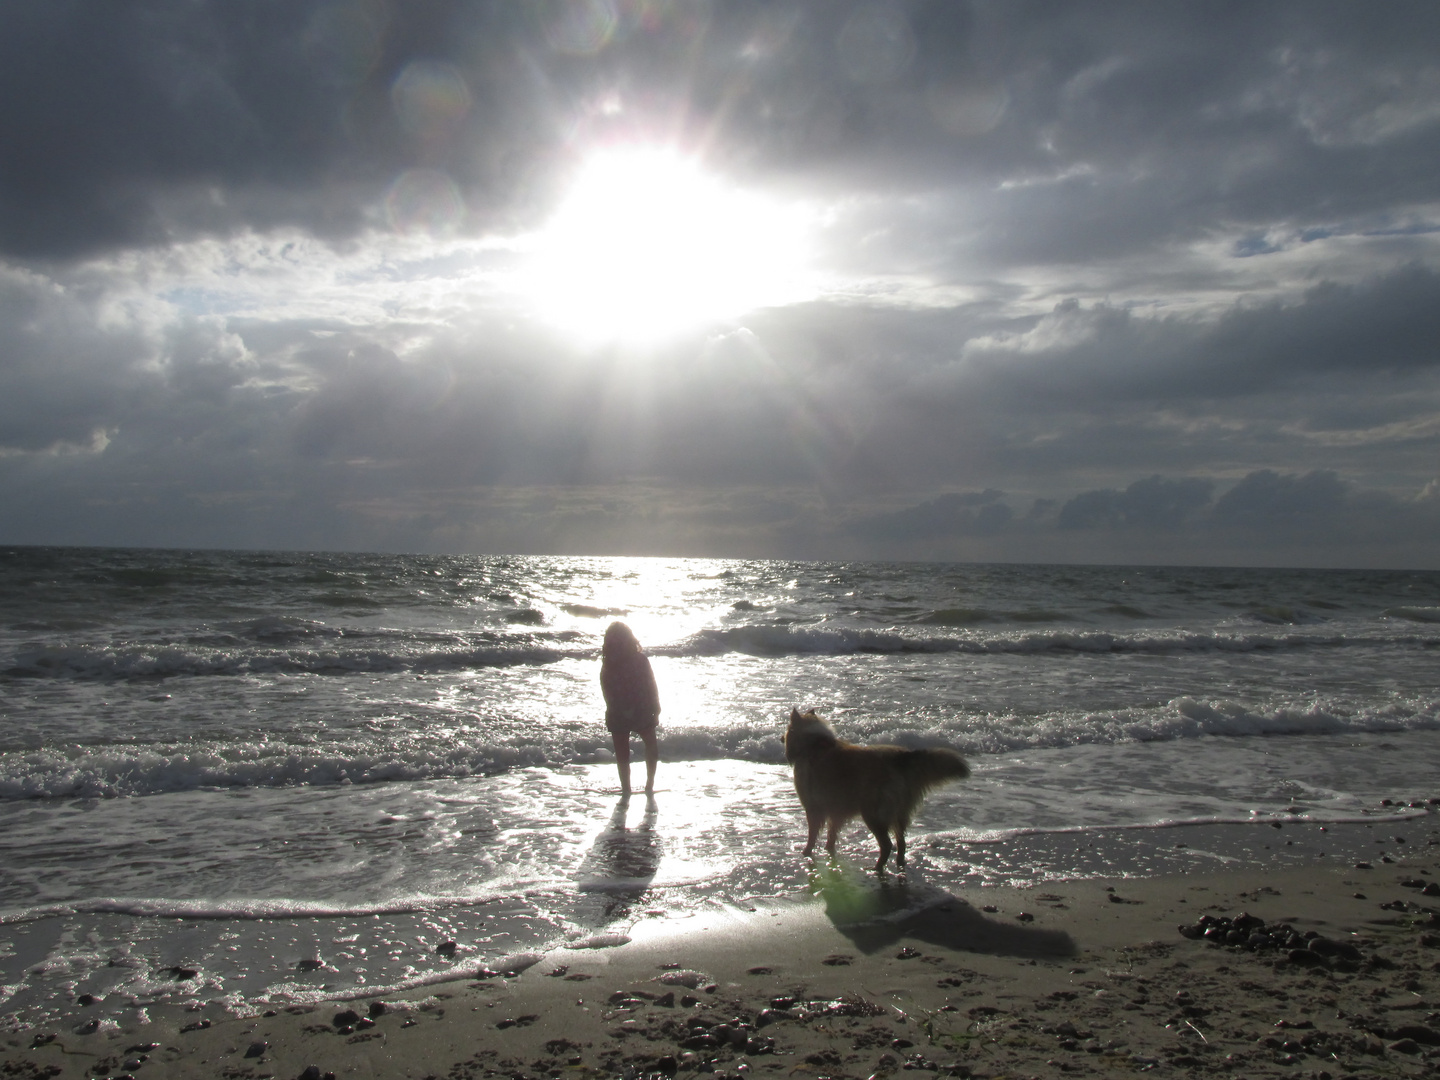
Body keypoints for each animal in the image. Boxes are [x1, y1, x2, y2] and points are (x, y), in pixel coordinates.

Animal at [783, 705, 973, 875]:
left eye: (788, 730)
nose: (779, 738)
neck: (814, 745)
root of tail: (902, 758)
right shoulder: (836, 811)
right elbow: (832, 834)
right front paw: (828, 850)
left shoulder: (813, 808)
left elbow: (813, 834)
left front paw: (807, 852)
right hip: (898, 814)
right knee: (901, 843)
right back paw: (899, 865)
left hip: (873, 814)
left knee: (887, 844)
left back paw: (877, 868)